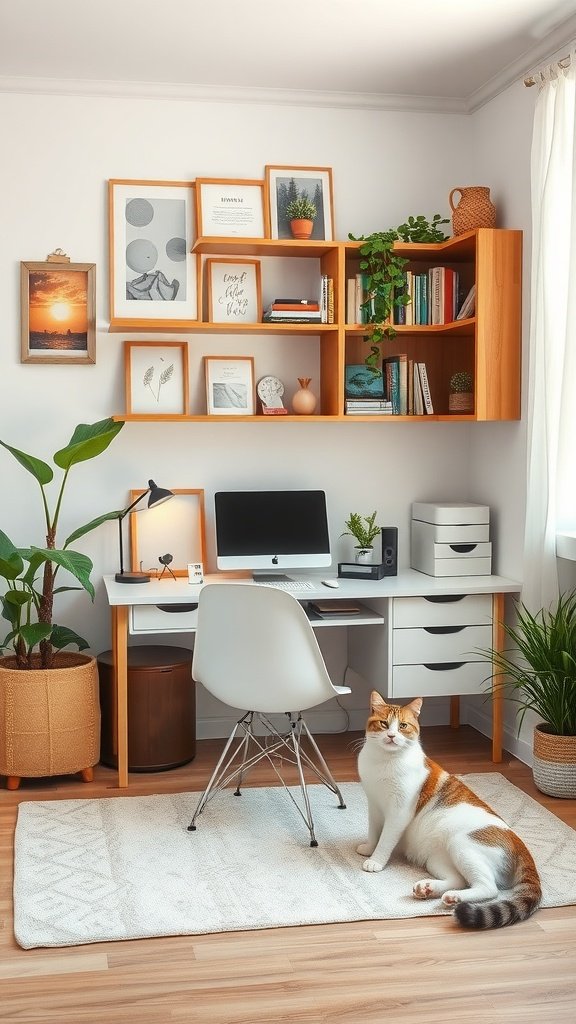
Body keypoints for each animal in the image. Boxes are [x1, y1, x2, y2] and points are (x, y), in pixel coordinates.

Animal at [356, 692, 541, 933]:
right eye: (384, 724)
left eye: (403, 726)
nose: (391, 735)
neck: (384, 762)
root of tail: (519, 844)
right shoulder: (374, 805)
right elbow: (373, 831)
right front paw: (369, 848)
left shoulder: (398, 812)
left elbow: (386, 839)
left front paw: (376, 860)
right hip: (436, 859)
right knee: (460, 880)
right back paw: (428, 889)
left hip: (461, 844)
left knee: (489, 888)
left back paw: (454, 897)